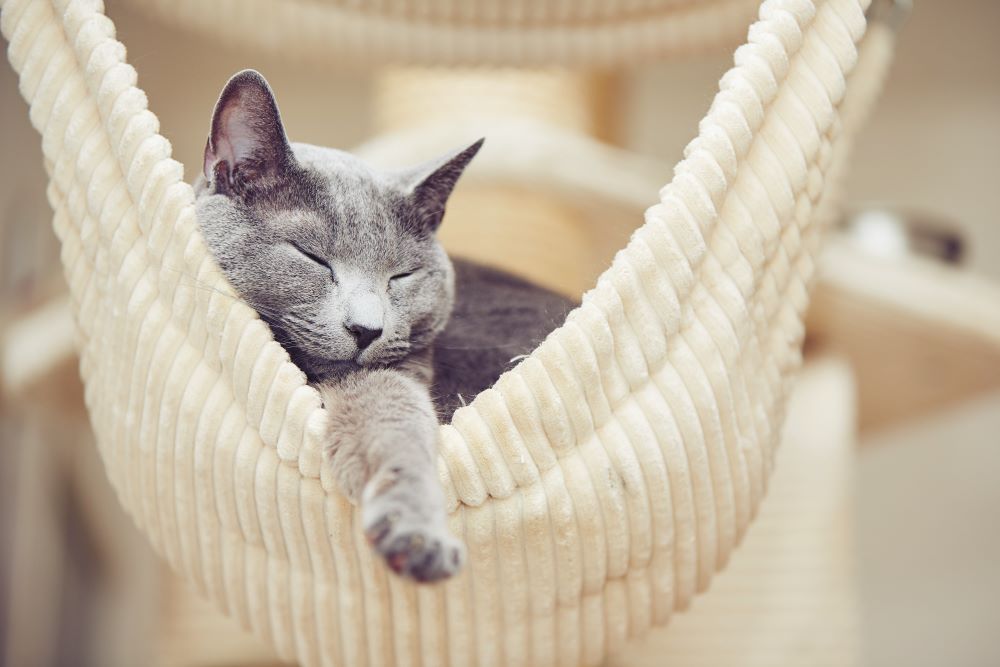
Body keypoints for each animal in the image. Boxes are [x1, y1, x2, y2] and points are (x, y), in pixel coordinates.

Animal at [194, 70, 576, 584]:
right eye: (311, 257)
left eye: (401, 275)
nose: (366, 328)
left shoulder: (396, 374)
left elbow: (396, 428)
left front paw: (416, 536)